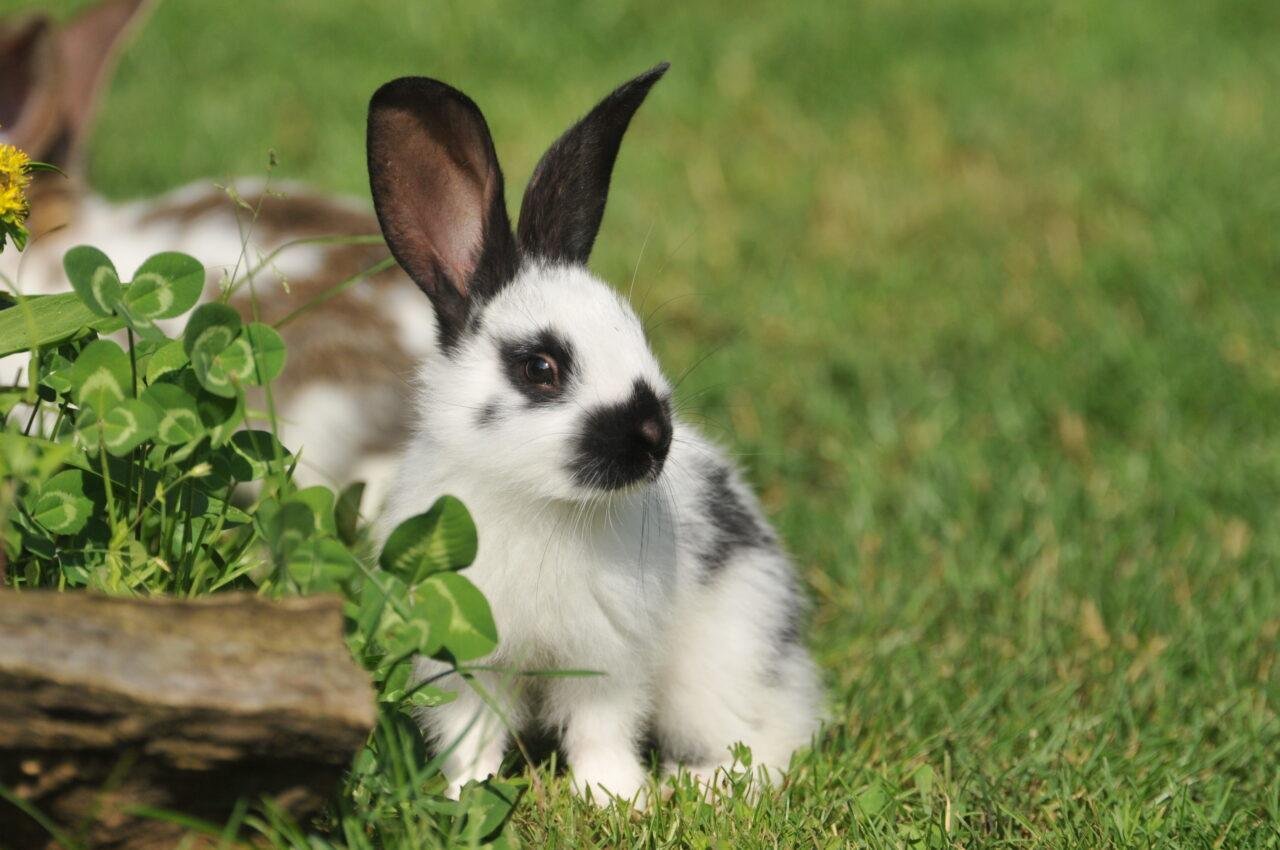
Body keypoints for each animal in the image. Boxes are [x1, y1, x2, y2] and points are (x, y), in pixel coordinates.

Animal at [366, 66, 824, 803]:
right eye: (540, 368)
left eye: (635, 332)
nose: (653, 437)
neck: (539, 504)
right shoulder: (467, 659)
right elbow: (473, 735)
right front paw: (468, 795)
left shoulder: (608, 657)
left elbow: (600, 730)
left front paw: (618, 799)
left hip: (727, 657)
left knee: (769, 741)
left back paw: (699, 783)